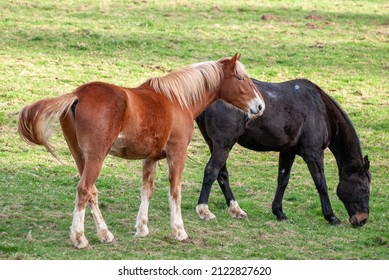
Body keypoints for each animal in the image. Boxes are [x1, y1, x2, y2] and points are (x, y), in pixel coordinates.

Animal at [19, 53, 266, 248]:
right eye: (240, 77)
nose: (260, 106)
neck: (177, 101)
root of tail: (77, 95)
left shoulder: (150, 158)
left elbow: (147, 190)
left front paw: (142, 228)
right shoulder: (177, 154)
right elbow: (175, 190)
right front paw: (179, 230)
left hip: (81, 157)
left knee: (92, 193)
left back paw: (105, 234)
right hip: (96, 157)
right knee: (84, 190)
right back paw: (80, 238)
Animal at [197, 77, 370, 226]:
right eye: (364, 188)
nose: (362, 220)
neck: (321, 109)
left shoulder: (288, 151)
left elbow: (283, 180)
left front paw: (279, 212)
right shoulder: (313, 154)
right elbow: (321, 183)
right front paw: (331, 216)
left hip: (215, 144)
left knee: (222, 174)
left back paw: (236, 210)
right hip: (223, 145)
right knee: (212, 171)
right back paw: (204, 210)